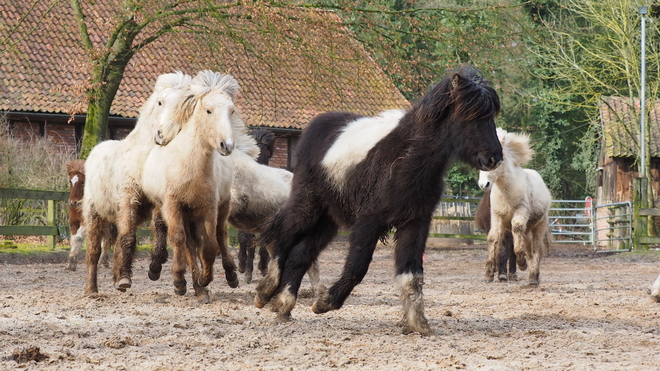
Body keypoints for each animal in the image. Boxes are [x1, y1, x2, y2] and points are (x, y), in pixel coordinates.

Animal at [82, 72, 191, 296]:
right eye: (160, 102)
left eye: (183, 105)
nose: (163, 135)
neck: (143, 161)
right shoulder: (128, 200)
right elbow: (128, 238)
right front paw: (125, 279)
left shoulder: (158, 203)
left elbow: (160, 229)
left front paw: (155, 267)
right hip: (94, 213)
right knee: (94, 251)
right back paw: (92, 290)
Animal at [141, 70, 251, 306]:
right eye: (208, 110)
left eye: (232, 110)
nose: (227, 145)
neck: (189, 168)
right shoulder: (173, 206)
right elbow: (179, 240)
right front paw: (180, 282)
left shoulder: (208, 208)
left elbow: (209, 246)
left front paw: (205, 279)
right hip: (183, 214)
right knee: (188, 245)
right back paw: (196, 288)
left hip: (222, 207)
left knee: (220, 236)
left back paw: (227, 278)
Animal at [255, 65, 502, 336]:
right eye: (471, 116)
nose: (494, 158)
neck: (404, 159)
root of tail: (315, 128)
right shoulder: (369, 219)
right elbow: (357, 265)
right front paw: (325, 303)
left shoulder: (415, 222)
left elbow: (412, 274)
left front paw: (418, 323)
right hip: (308, 205)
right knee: (281, 236)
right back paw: (266, 291)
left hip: (328, 221)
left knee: (300, 254)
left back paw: (283, 305)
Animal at [480, 128, 552, 288]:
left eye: (493, 160)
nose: (483, 184)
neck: (507, 191)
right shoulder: (496, 216)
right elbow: (493, 237)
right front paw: (488, 273)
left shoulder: (521, 211)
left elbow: (516, 228)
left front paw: (522, 263)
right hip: (527, 229)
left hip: (539, 226)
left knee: (536, 249)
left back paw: (533, 277)